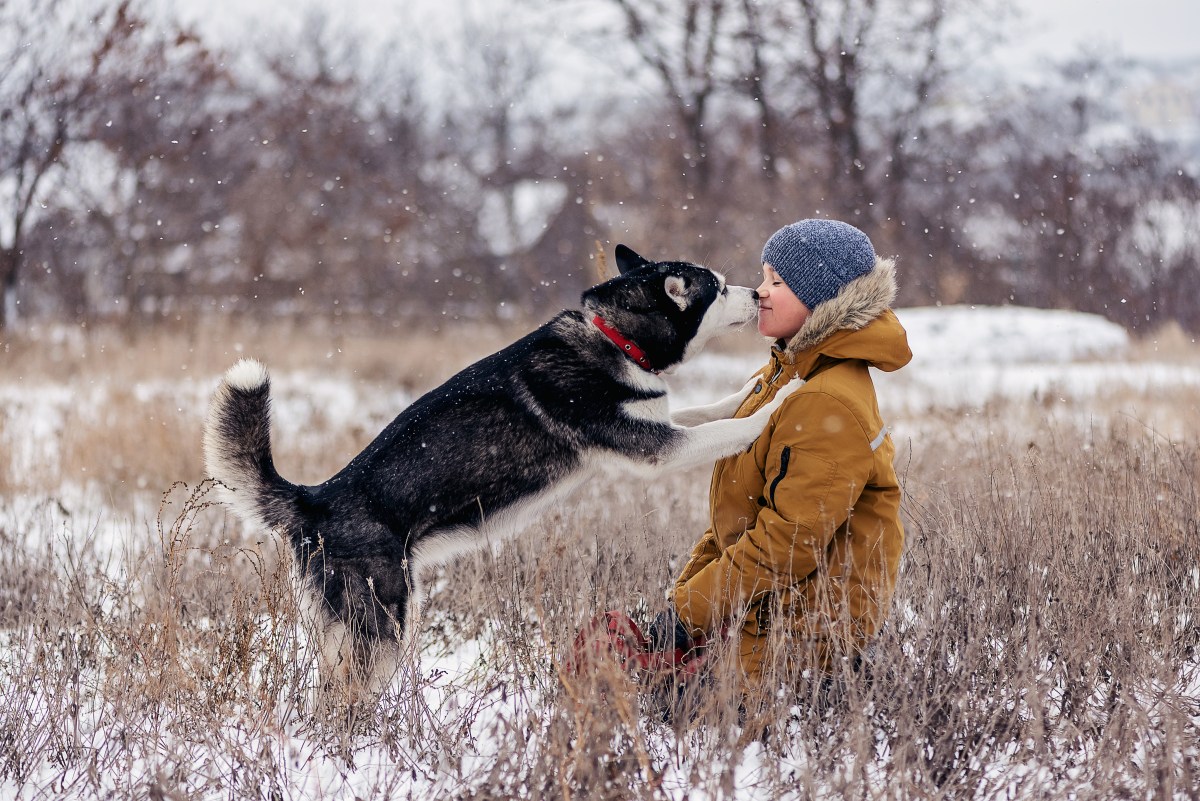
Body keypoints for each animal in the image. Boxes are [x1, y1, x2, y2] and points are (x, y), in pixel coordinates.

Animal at [202, 247, 801, 705]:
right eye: (717, 289)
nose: (756, 295)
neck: (616, 339)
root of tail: (316, 497)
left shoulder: (659, 427)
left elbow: (716, 410)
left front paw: (755, 391)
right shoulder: (654, 448)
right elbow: (728, 428)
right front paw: (782, 403)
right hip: (382, 623)